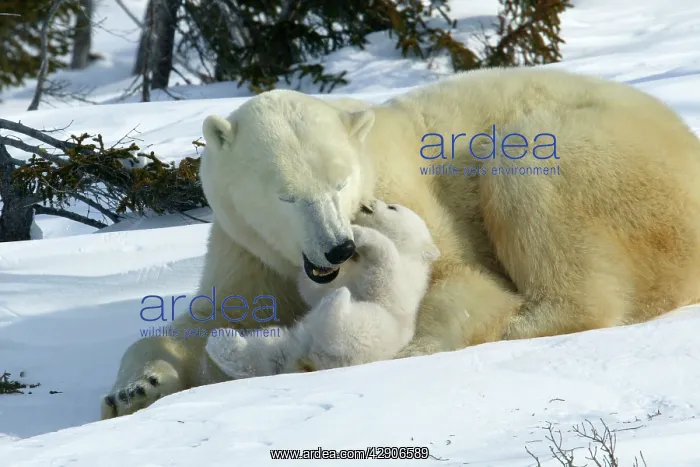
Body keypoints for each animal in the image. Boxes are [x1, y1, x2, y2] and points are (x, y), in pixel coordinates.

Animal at [204, 199, 441, 379]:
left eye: (392, 207)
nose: (369, 201)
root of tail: (310, 362)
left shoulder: (405, 279)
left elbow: (384, 274)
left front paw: (360, 233)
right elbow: (315, 289)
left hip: (372, 331)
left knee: (342, 331)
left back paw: (337, 302)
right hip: (291, 342)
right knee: (264, 353)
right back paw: (220, 338)